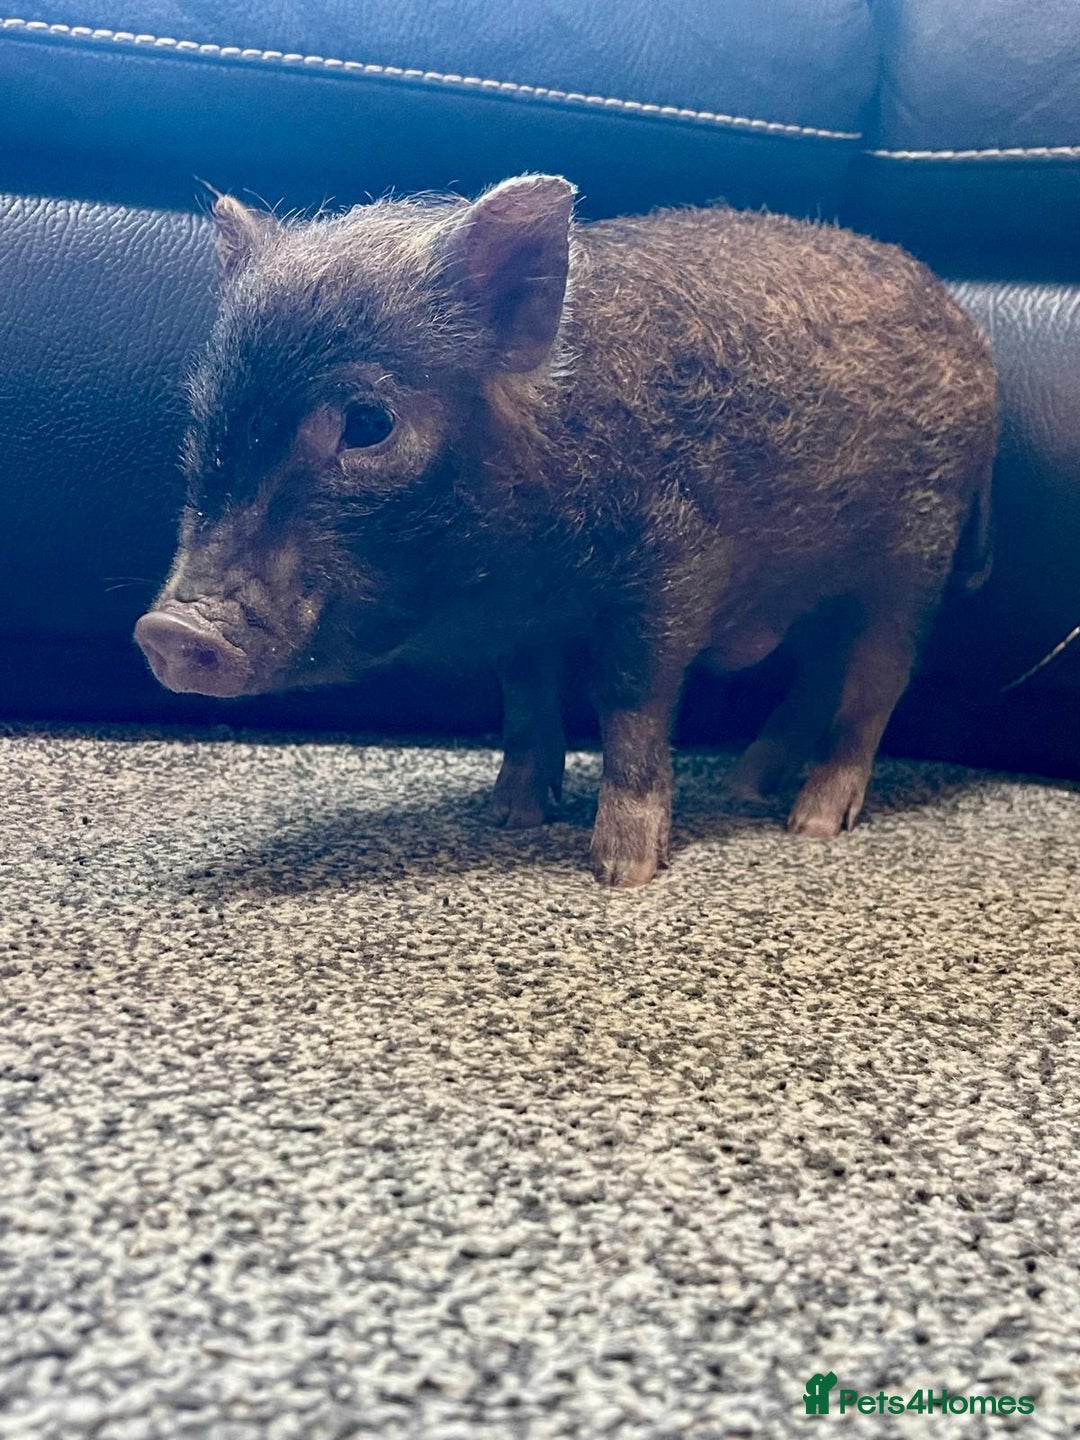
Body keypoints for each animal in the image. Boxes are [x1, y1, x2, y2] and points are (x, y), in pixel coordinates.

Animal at [135, 176, 997, 887]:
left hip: (915, 553)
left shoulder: (671, 573)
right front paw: (510, 817)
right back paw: (749, 785)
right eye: (206, 416)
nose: (167, 630)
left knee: (876, 679)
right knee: (816, 674)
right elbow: (524, 699)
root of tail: (970, 333)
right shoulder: (522, 623)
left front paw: (622, 872)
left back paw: (810, 824)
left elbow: (630, 701)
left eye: (369, 424)